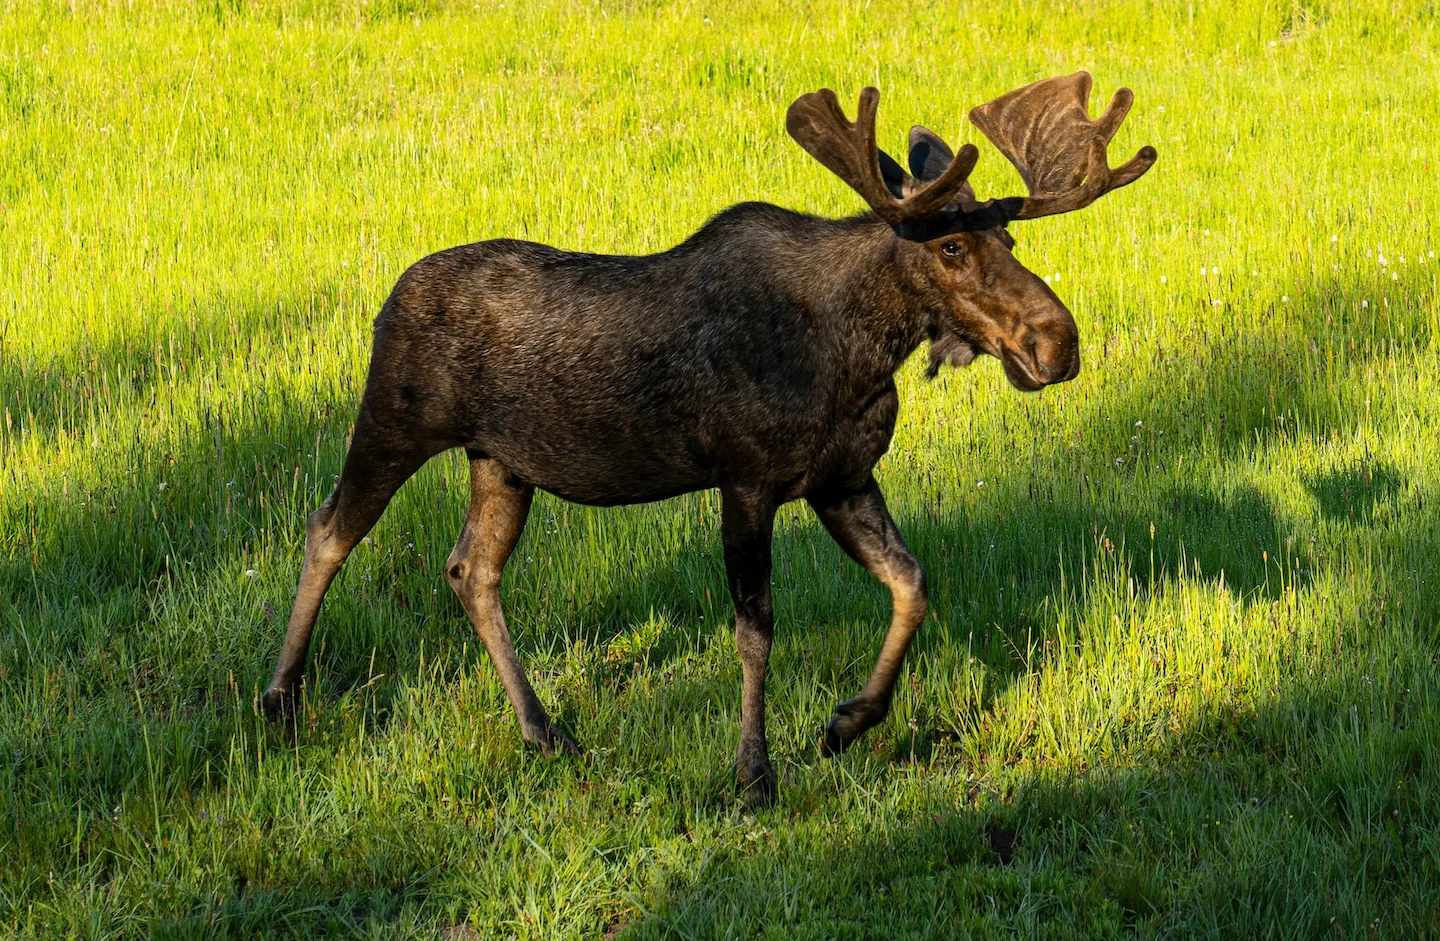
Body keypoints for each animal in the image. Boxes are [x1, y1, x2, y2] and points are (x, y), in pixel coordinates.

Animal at [261, 72, 1156, 806]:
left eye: (1012, 239)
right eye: (952, 244)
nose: (1058, 342)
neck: (858, 351)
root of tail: (390, 295)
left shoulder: (842, 478)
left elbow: (913, 583)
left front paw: (847, 722)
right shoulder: (746, 478)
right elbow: (756, 628)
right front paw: (754, 771)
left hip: (503, 462)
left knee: (470, 568)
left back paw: (545, 730)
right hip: (396, 417)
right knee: (329, 528)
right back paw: (280, 701)